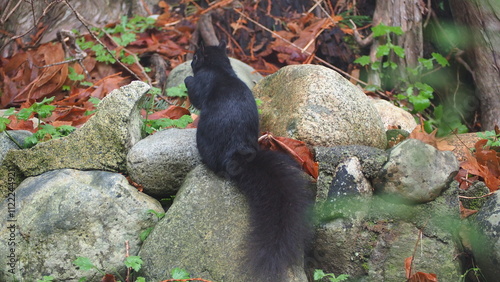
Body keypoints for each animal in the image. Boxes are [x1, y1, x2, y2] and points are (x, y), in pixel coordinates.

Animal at [183, 40, 308, 280]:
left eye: (195, 57)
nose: (190, 60)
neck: (221, 70)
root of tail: (237, 157)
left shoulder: (201, 84)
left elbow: (194, 92)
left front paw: (186, 79)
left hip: (205, 141)